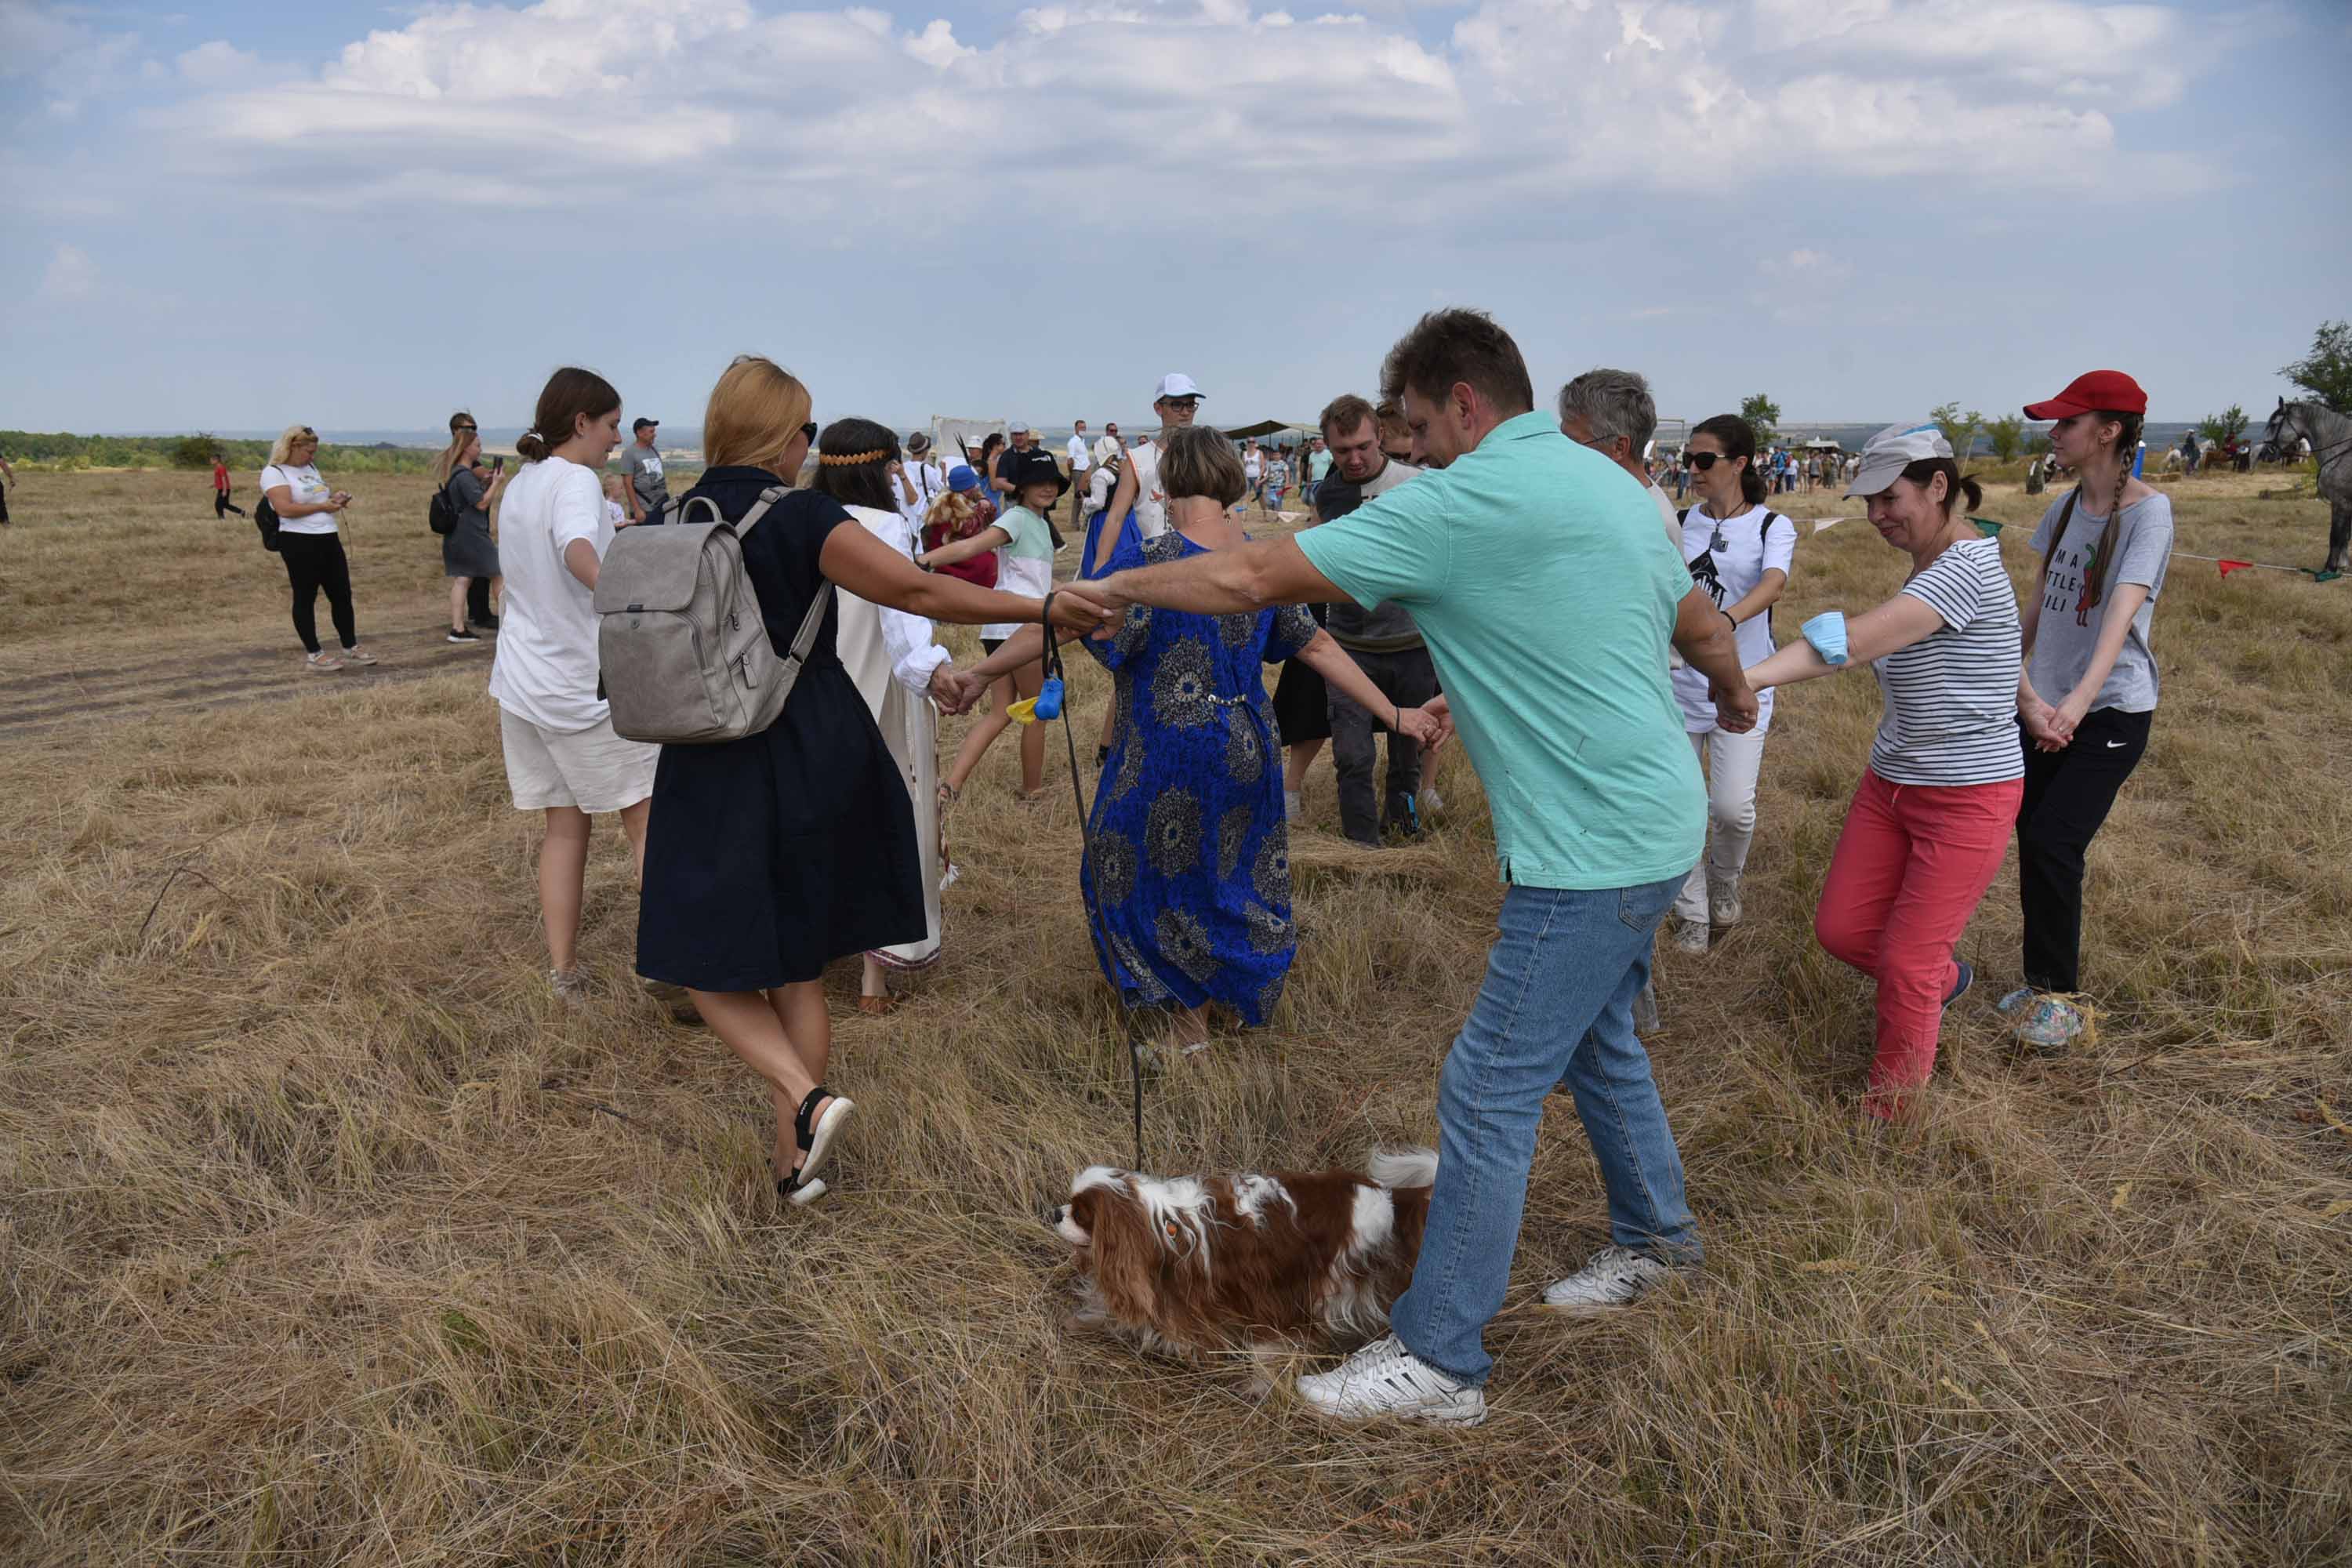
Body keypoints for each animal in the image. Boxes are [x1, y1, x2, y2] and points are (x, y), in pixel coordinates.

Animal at [1049, 1147, 1430, 1382]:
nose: (1055, 1213)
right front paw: (1084, 1320)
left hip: (1333, 1284)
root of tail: (1388, 1197)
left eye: (1081, 1215)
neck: (1166, 1227)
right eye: (1069, 1203)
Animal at [2267, 399, 2352, 575]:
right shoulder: (2345, 504)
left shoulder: (2340, 503)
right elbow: (2345, 536)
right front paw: (2342, 565)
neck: (2340, 453)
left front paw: (2329, 569)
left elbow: (2335, 537)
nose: (2267, 452)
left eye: (2274, 424)